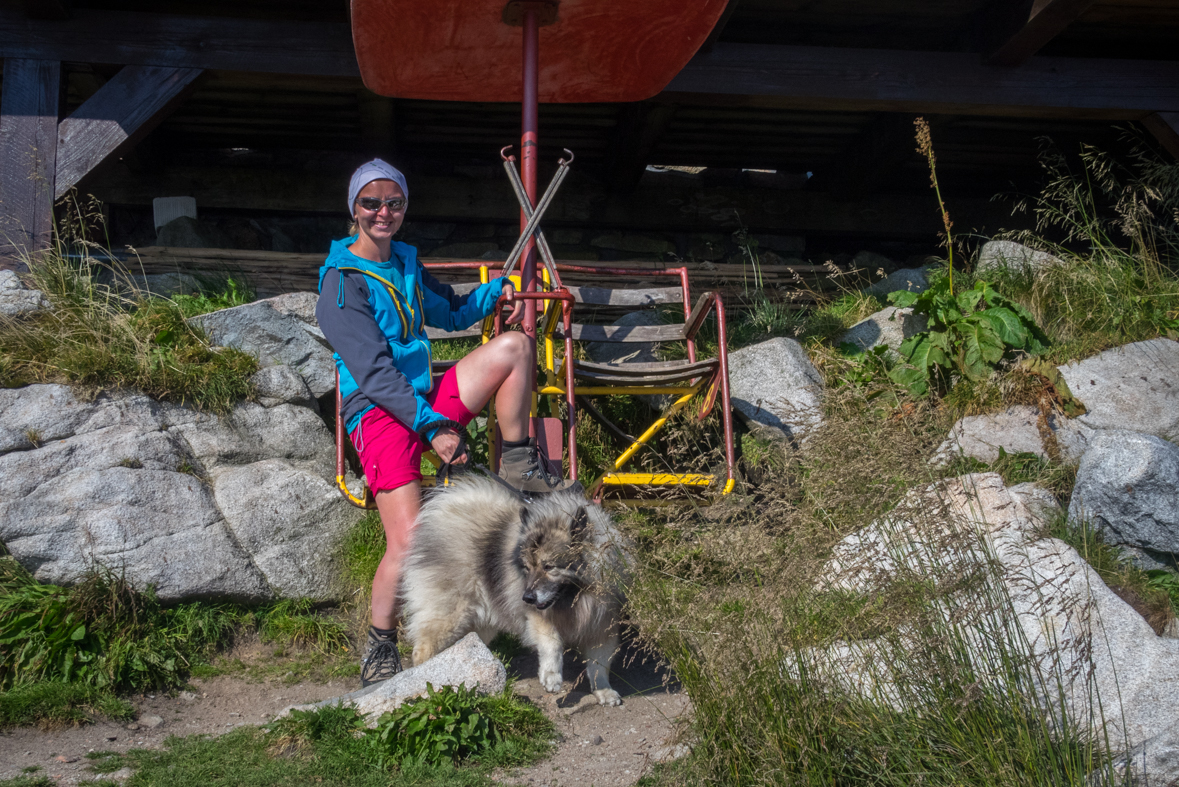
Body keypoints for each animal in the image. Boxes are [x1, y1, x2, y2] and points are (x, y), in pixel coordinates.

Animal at [400, 473, 631, 706]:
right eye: (527, 568)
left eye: (549, 567)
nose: (527, 597)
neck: (578, 595)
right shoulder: (539, 619)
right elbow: (552, 643)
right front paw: (551, 677)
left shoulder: (603, 624)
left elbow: (599, 664)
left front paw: (603, 690)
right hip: (450, 616)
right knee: (423, 651)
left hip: (480, 624)